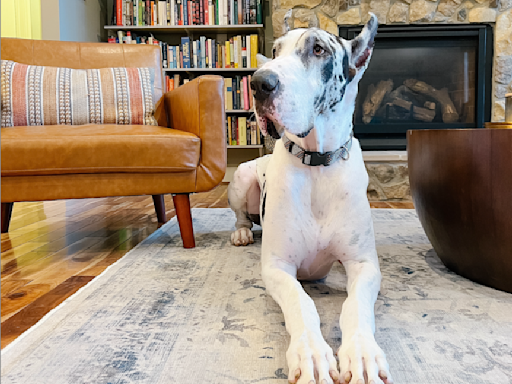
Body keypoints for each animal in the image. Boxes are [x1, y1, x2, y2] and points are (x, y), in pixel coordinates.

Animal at [228, 13, 392, 384]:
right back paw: (242, 232)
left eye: (318, 49)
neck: (317, 162)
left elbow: (355, 306)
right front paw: (312, 354)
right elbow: (301, 301)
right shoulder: (277, 267)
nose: (259, 83)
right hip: (242, 176)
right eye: (275, 50)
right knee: (242, 215)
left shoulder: (364, 264)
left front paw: (362, 353)